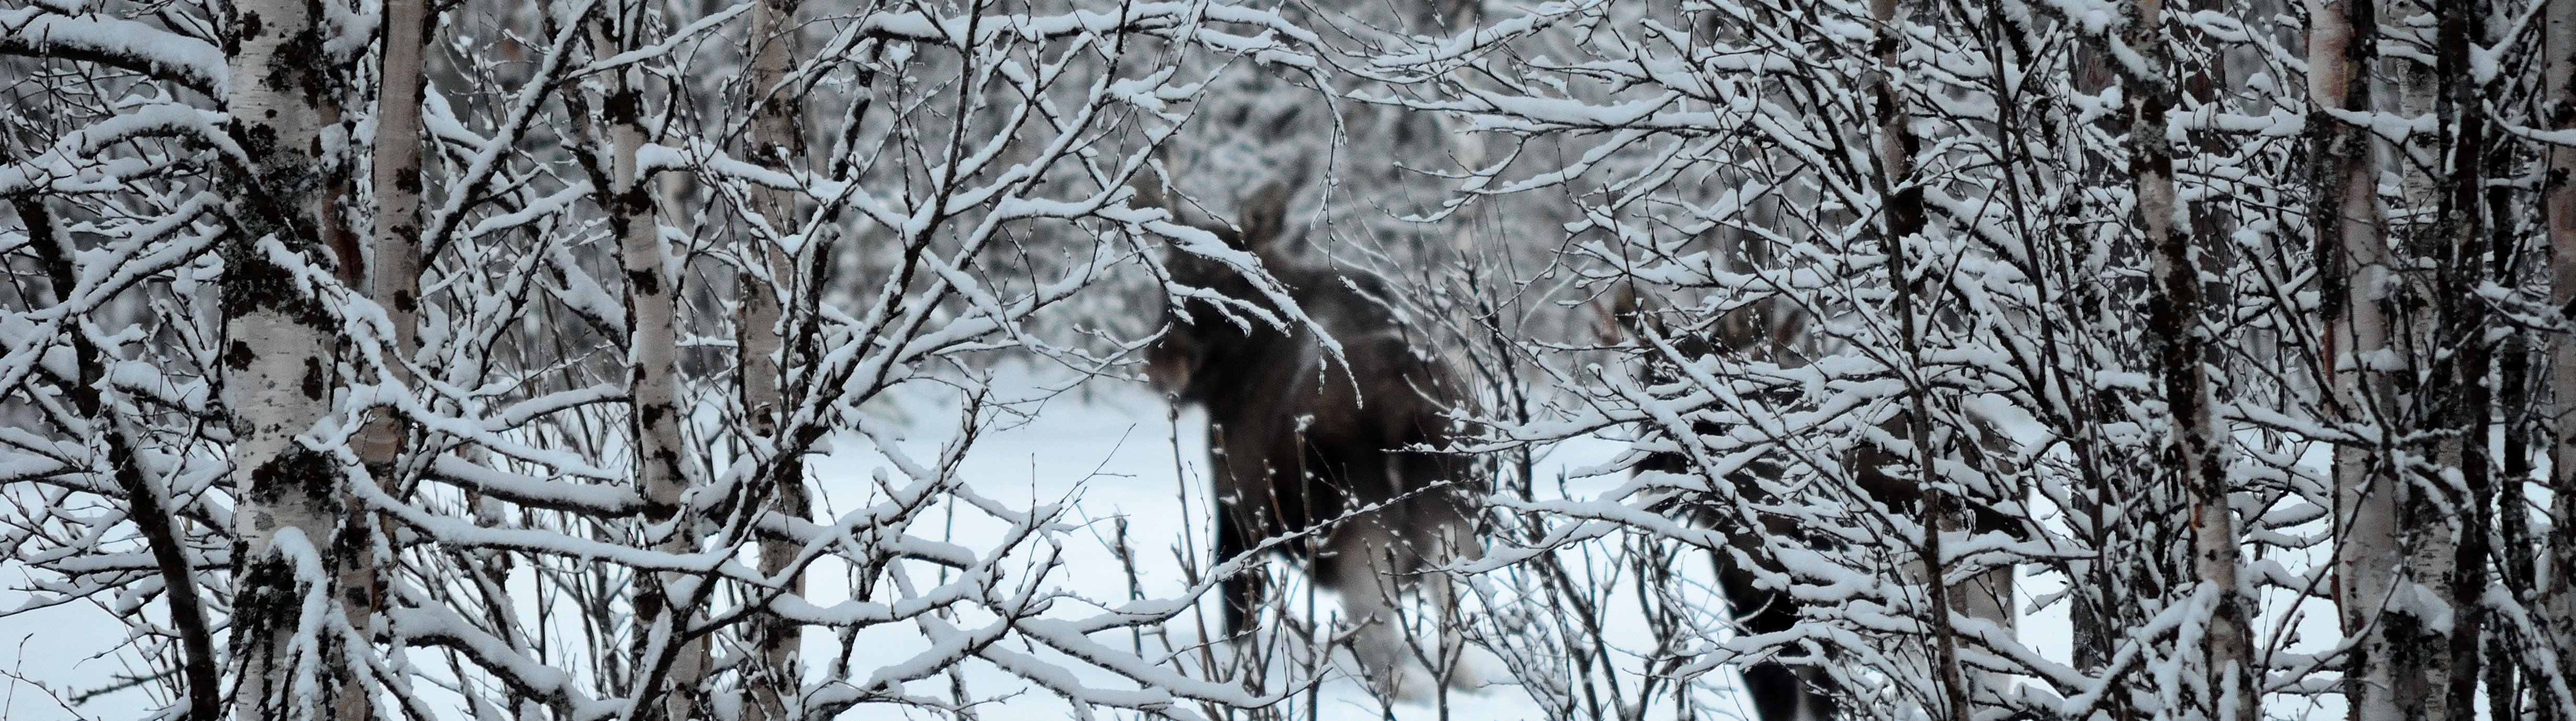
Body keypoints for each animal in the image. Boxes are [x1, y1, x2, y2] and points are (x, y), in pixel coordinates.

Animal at [1138, 177, 1483, 695]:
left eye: (1220, 279)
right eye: (1170, 271)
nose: (1160, 367)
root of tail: (1406, 410)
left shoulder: (1238, 510)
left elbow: (1238, 621)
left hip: (1359, 530)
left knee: (1386, 645)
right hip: (1450, 521)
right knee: (1454, 629)